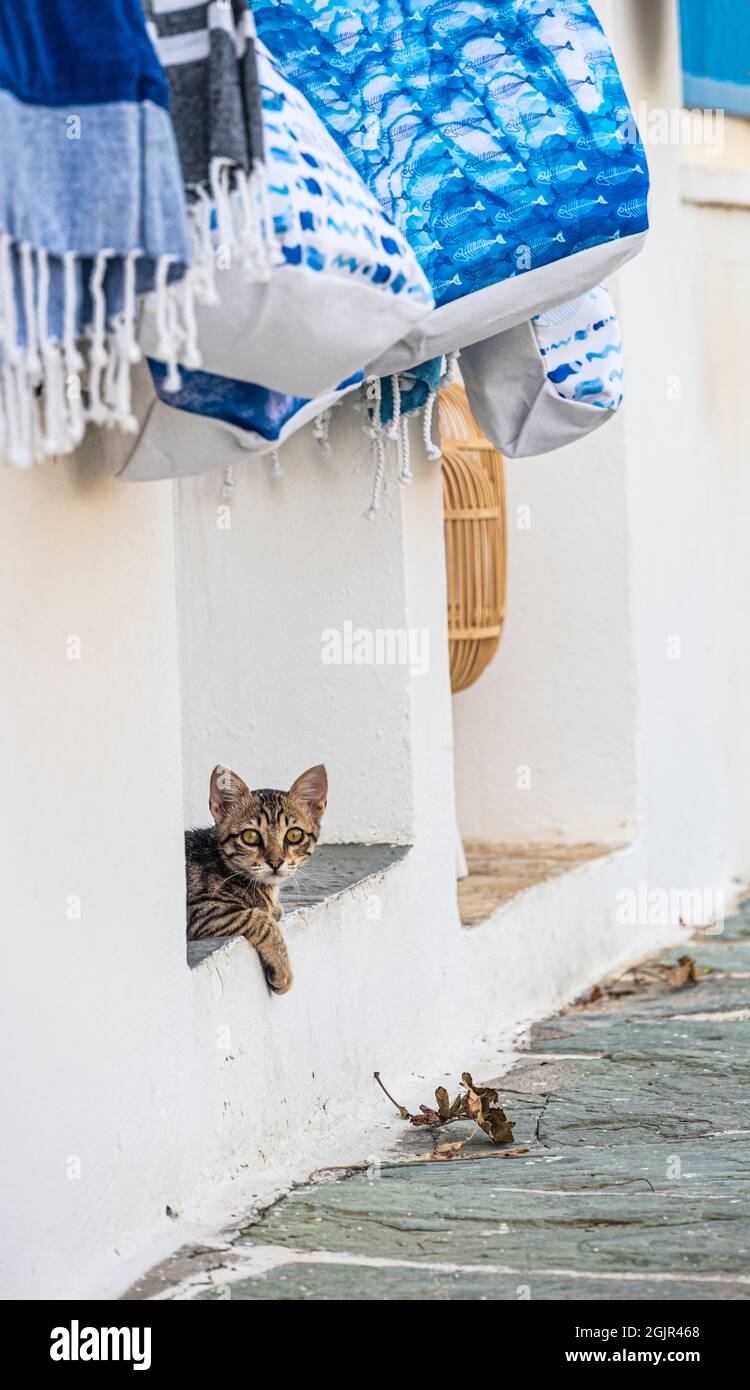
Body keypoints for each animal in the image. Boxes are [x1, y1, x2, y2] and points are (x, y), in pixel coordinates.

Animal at [186, 767, 326, 995]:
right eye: (250, 837)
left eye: (294, 835)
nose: (276, 862)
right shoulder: (200, 912)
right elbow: (259, 918)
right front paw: (282, 970)